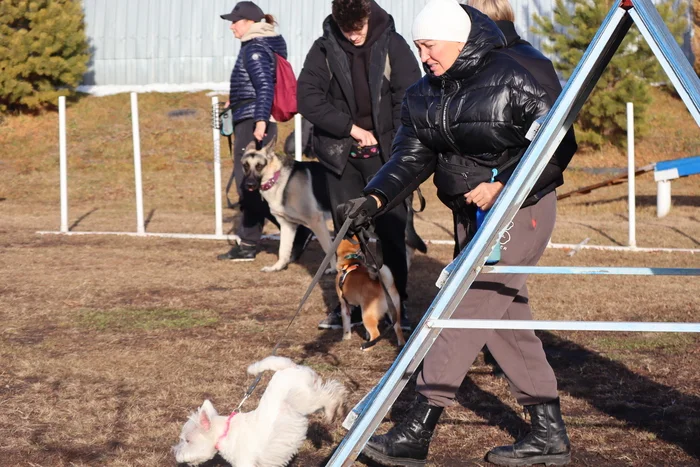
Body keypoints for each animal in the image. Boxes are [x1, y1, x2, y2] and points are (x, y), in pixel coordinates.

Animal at [173, 356, 348, 466]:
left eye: (187, 440)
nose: (175, 454)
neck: (226, 432)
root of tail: (290, 366)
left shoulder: (245, 462)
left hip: (305, 401)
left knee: (331, 393)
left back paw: (332, 413)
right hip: (309, 398)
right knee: (333, 389)